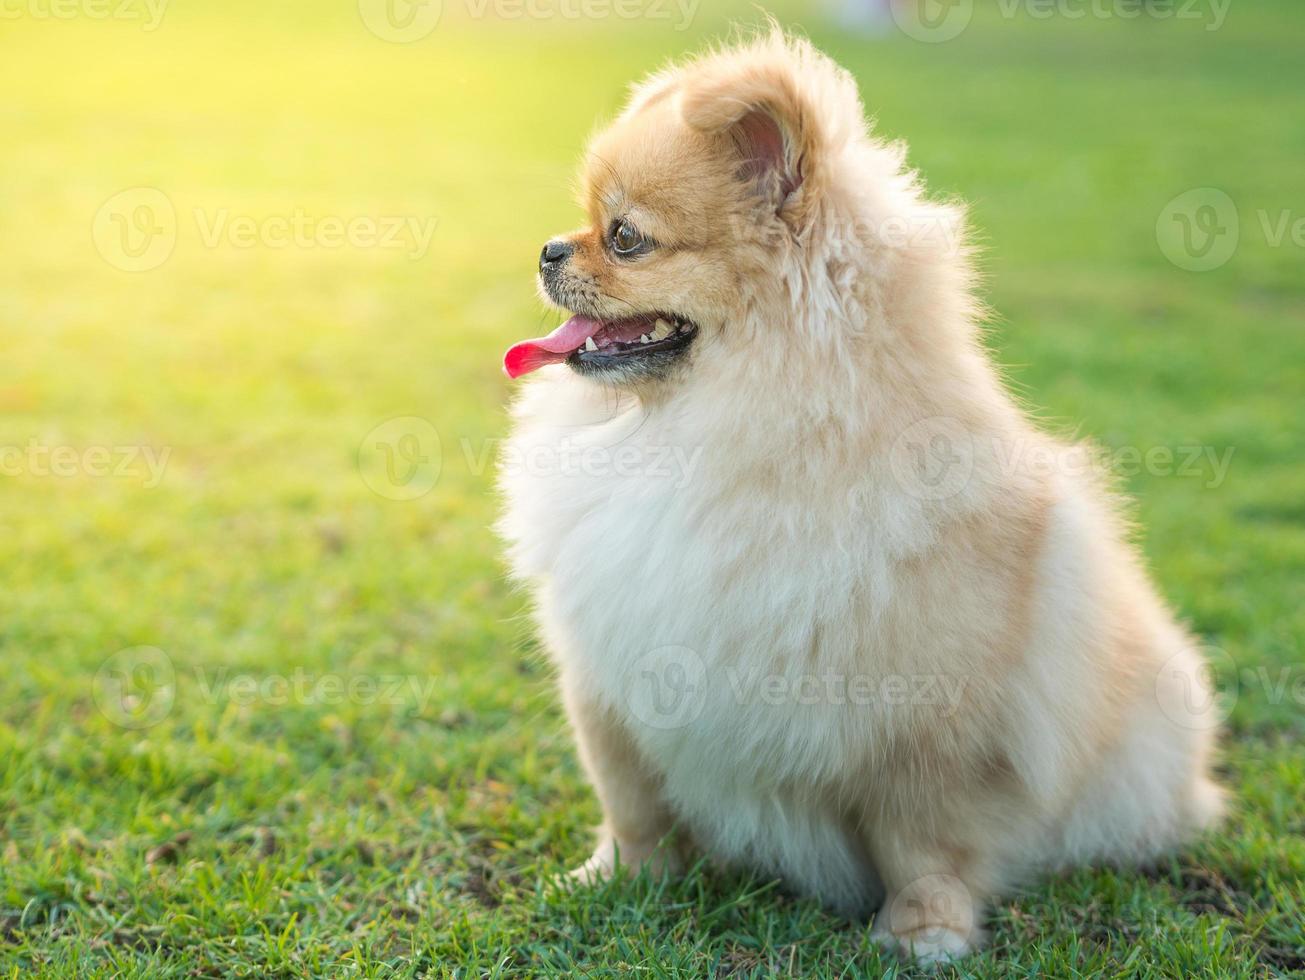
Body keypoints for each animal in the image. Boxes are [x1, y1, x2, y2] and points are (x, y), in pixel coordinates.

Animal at [495, 30, 1221, 965]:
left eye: (624, 238)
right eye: (589, 224)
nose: (550, 249)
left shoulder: (926, 732)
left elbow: (923, 843)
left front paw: (923, 933)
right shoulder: (610, 685)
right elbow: (634, 807)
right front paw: (615, 880)